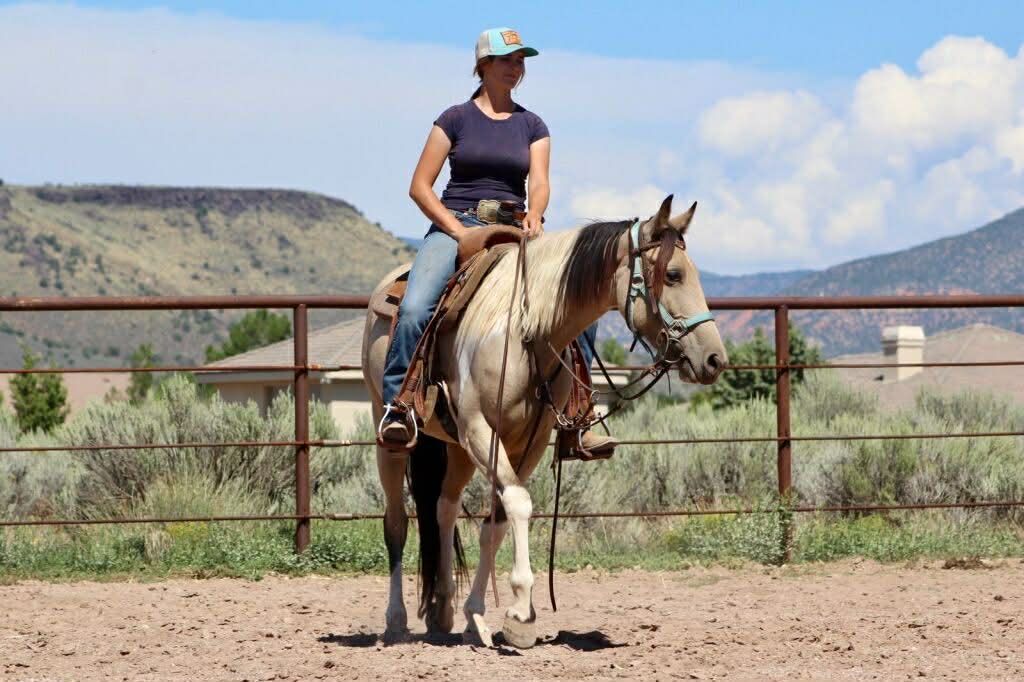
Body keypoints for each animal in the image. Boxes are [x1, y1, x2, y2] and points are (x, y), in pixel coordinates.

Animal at [360, 195, 727, 648]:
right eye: (673, 275)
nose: (715, 359)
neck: (524, 330)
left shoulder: (528, 442)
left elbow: (496, 523)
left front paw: (479, 615)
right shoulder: (481, 430)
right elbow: (517, 503)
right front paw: (521, 613)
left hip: (455, 445)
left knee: (444, 510)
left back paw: (443, 611)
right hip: (392, 435)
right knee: (396, 520)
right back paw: (395, 619)